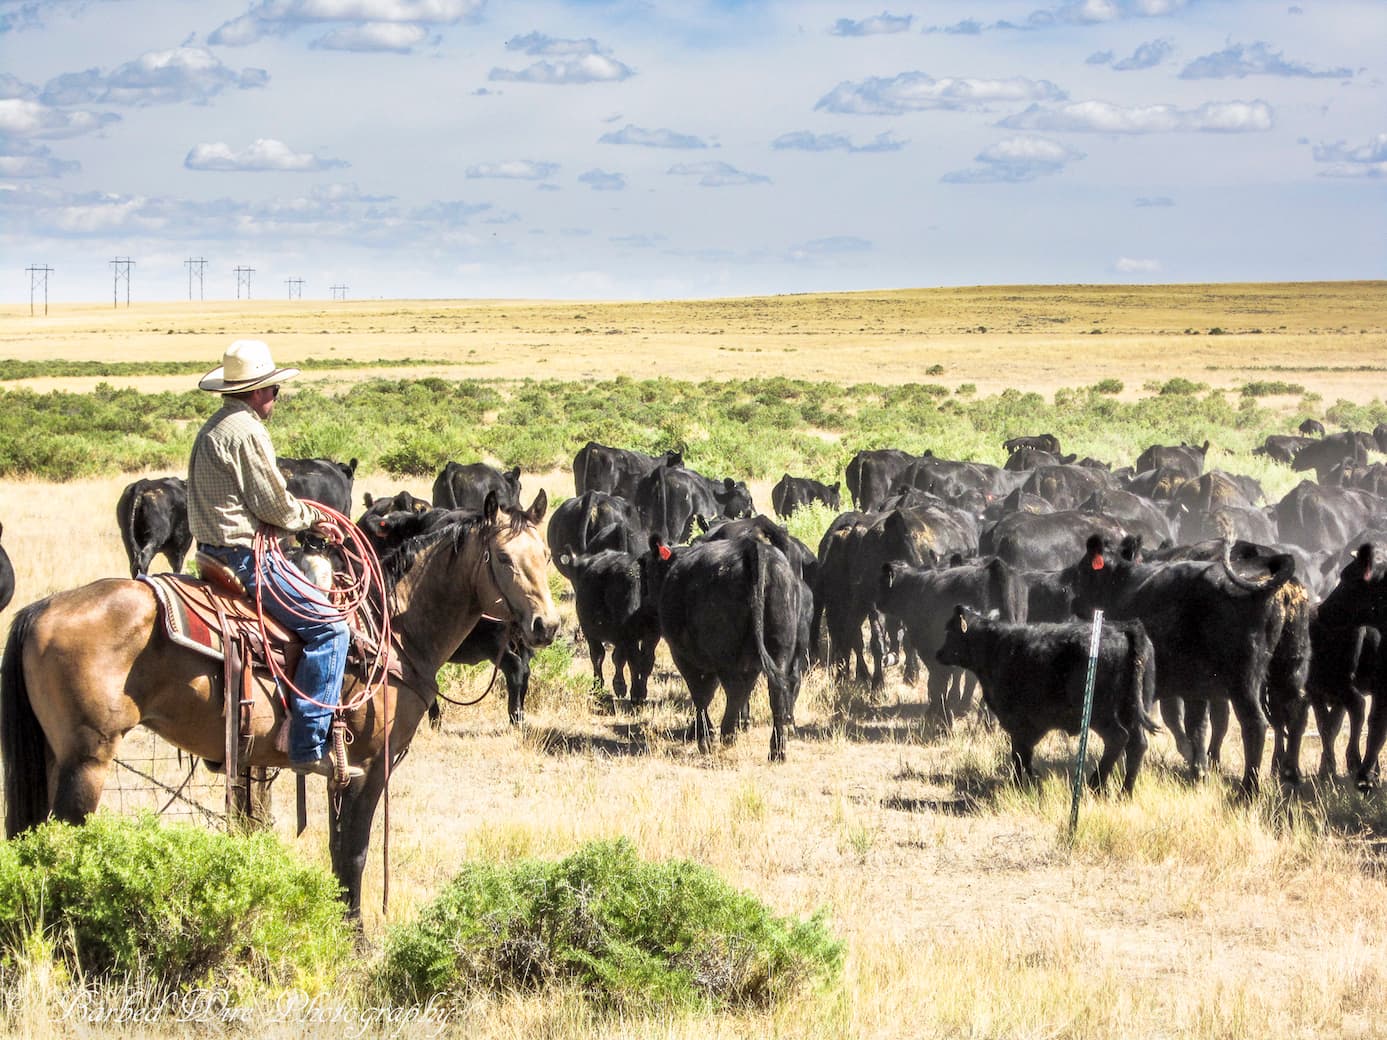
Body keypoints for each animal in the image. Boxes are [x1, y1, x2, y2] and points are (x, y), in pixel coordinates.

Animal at [646, 533, 804, 761]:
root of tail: (753, 547)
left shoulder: (684, 656)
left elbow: (701, 693)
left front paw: (703, 736)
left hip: (724, 654)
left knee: (732, 690)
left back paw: (726, 735)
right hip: (779, 647)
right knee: (775, 692)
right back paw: (776, 750)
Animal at [936, 606, 1159, 794]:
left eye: (950, 632)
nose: (938, 653)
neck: (996, 647)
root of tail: (1126, 628)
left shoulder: (1018, 722)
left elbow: (1019, 755)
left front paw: (1022, 784)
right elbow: (1023, 754)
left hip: (1101, 713)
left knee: (1118, 738)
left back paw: (1096, 785)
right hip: (1132, 711)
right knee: (1137, 745)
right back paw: (1125, 792)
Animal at [1064, 534, 1307, 792]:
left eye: (1084, 569)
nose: (1073, 600)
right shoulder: (1194, 690)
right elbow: (1196, 727)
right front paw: (1199, 770)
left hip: (1244, 682)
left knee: (1255, 724)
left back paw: (1247, 789)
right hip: (1290, 668)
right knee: (1295, 713)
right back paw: (1290, 773)